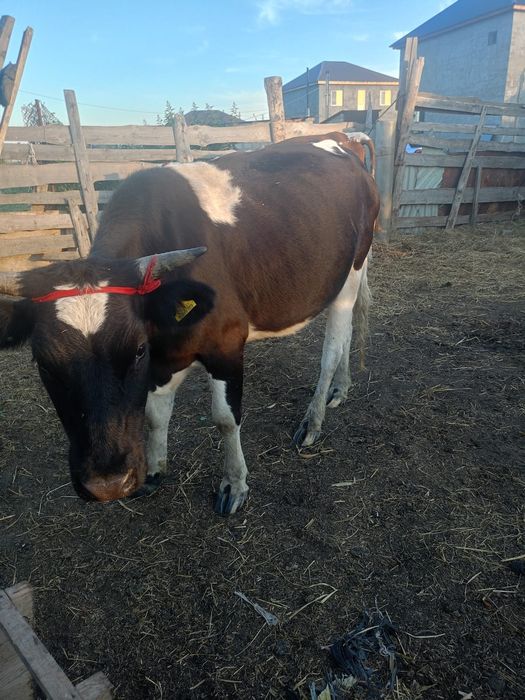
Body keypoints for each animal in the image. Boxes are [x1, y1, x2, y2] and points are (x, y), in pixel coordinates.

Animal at [0, 133, 379, 515]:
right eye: (44, 363)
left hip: (351, 270)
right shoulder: (165, 356)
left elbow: (225, 418)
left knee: (333, 348)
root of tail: (345, 138)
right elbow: (155, 413)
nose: (108, 484)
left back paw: (313, 420)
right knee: (347, 335)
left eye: (137, 350)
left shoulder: (226, 342)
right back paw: (340, 389)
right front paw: (154, 471)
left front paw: (234, 484)